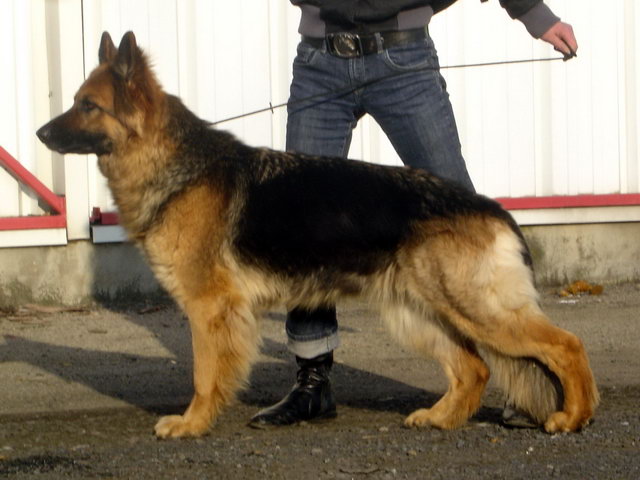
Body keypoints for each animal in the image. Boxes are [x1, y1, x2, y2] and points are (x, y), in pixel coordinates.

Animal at [35, 31, 596, 438]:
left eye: (88, 106)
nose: (39, 134)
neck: (174, 163)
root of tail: (493, 209)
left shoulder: (209, 308)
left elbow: (203, 374)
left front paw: (192, 424)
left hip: (475, 308)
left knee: (566, 345)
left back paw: (574, 417)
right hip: (418, 313)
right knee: (474, 368)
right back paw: (441, 418)